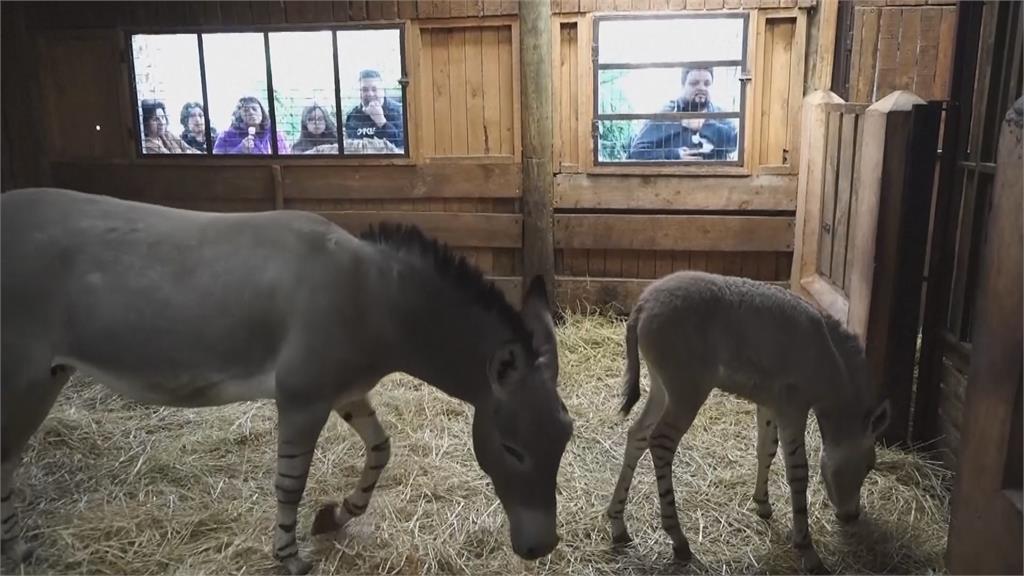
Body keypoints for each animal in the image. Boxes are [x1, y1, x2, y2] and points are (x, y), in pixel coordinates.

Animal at [606, 270, 888, 569]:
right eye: (868, 466)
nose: (852, 516)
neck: (828, 355)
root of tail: (644, 302)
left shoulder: (769, 405)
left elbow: (766, 450)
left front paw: (763, 504)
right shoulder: (793, 410)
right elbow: (798, 472)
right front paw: (806, 548)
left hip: (662, 390)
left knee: (638, 435)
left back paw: (618, 525)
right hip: (686, 393)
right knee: (660, 442)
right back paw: (678, 540)